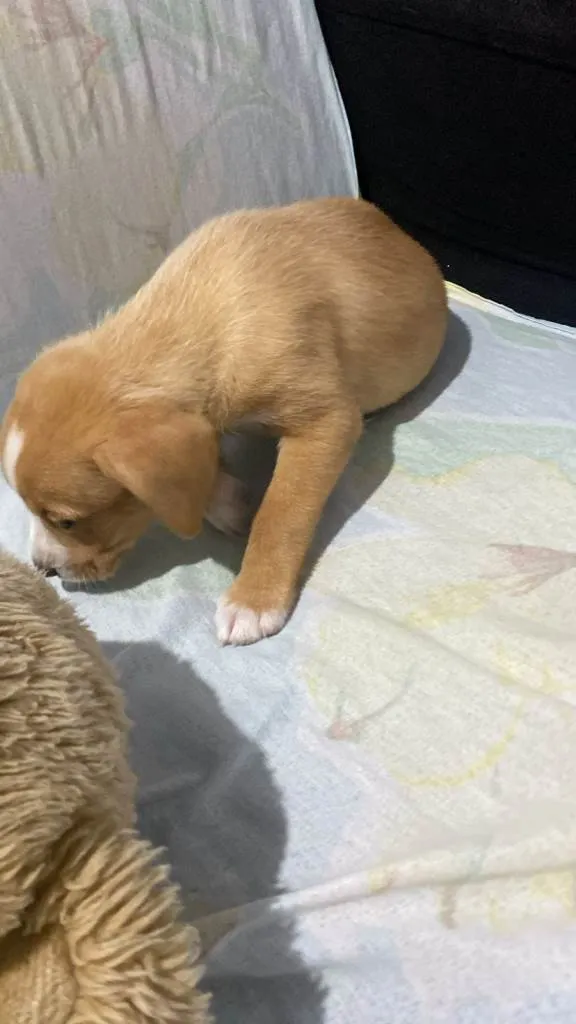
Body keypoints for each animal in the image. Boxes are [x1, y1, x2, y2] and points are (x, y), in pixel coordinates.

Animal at [1, 198, 447, 645]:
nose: (43, 568)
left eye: (68, 521)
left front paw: (253, 600)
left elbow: (281, 511)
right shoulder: (200, 430)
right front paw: (232, 505)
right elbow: (201, 474)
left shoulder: (327, 418)